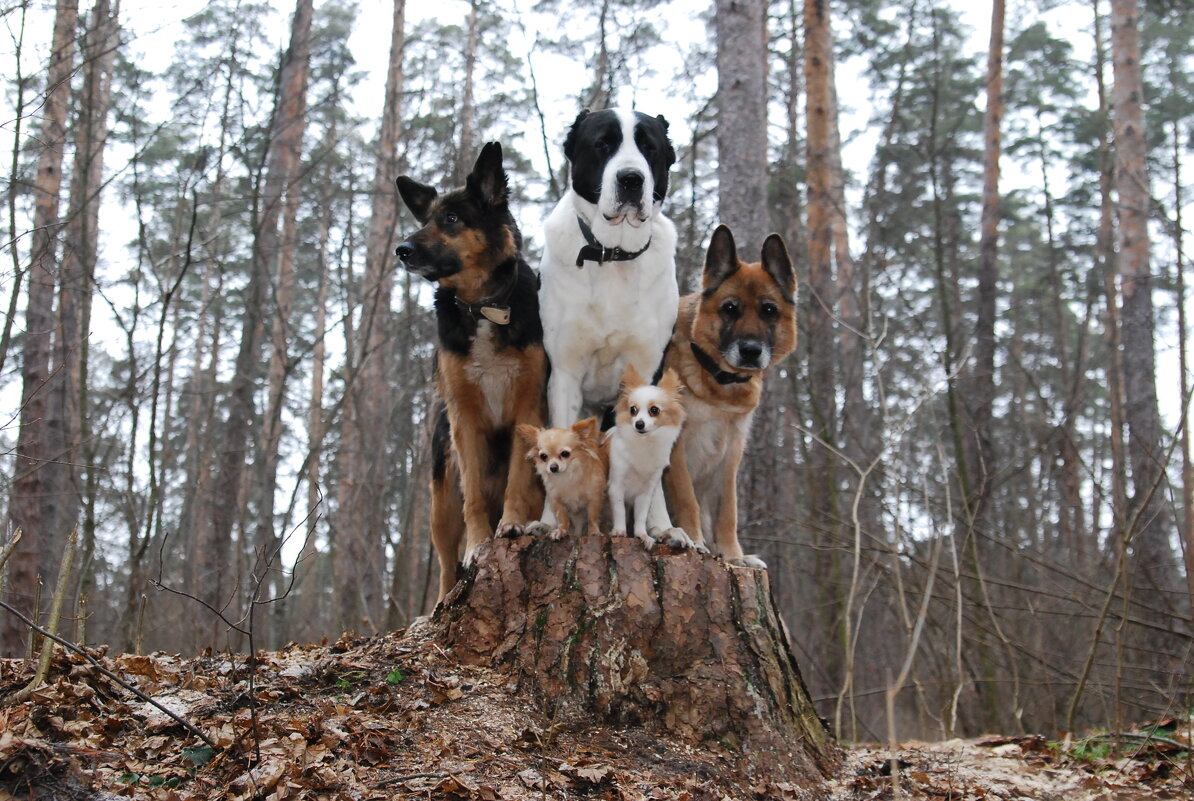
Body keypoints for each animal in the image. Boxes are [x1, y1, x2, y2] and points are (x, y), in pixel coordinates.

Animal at [537, 109, 678, 429]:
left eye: (649, 147)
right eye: (602, 144)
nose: (631, 179)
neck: (613, 256)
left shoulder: (646, 368)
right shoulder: (564, 373)